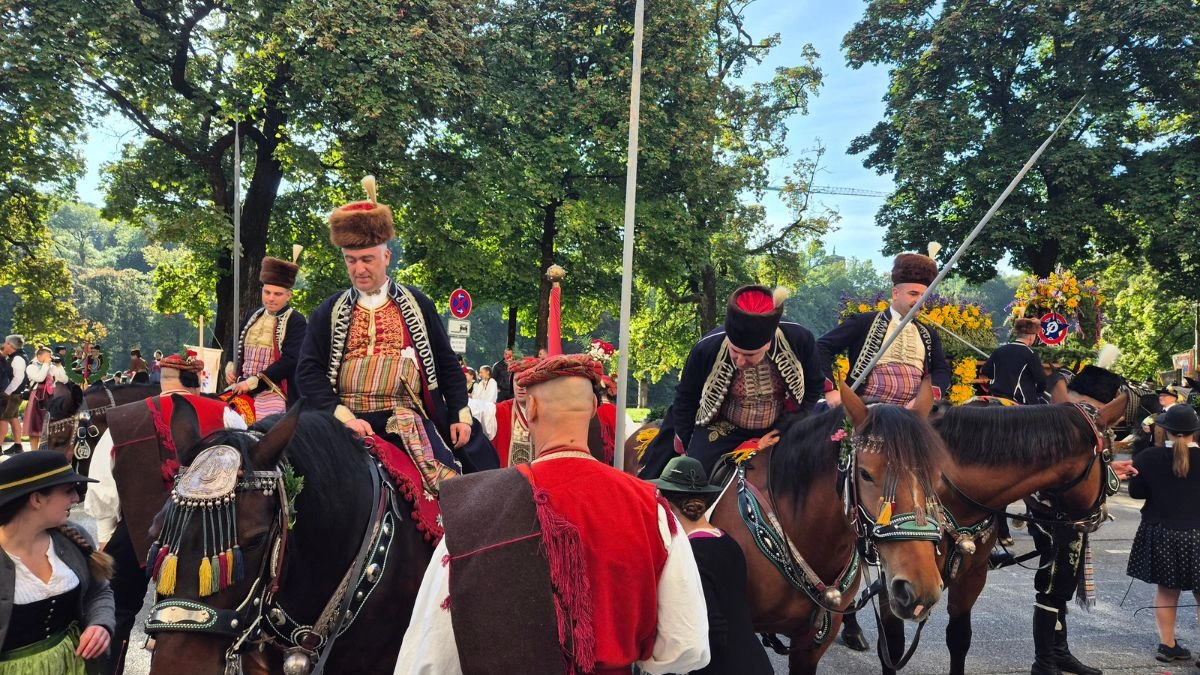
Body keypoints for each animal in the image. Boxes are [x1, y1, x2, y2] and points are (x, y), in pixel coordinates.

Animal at [864, 389, 1123, 672]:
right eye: (1109, 457)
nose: (1100, 515)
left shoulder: (971, 576)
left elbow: (959, 639)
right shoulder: (893, 581)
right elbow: (892, 647)